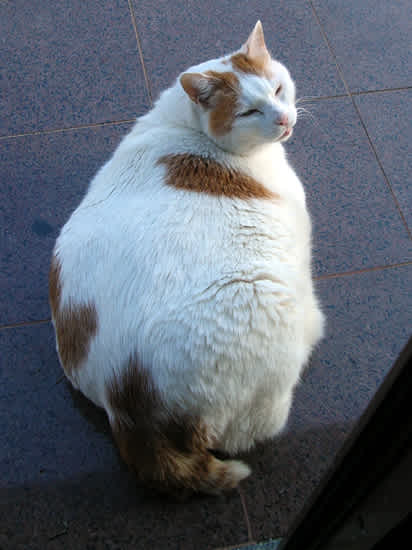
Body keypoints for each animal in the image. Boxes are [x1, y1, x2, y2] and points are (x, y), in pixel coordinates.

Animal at [49, 21, 324, 495]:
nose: (285, 119)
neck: (186, 127)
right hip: (263, 305)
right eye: (248, 112)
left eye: (278, 88)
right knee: (247, 433)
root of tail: (123, 401)